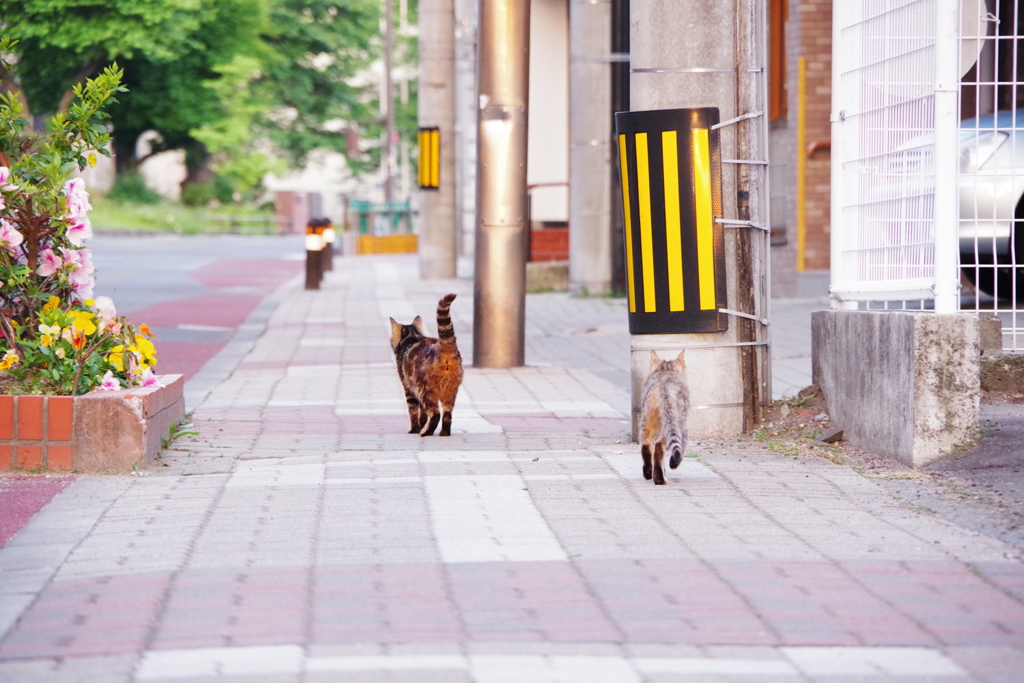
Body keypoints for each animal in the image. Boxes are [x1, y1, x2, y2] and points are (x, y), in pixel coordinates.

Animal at [387, 292, 464, 436]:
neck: (412, 337)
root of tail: (444, 350)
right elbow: (422, 412)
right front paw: (421, 424)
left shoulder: (408, 387)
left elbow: (413, 411)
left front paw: (414, 429)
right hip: (451, 390)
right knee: (447, 415)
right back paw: (443, 432)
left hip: (425, 390)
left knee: (435, 414)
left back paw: (426, 432)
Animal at [634, 352, 692, 485]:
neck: (665, 370)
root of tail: (663, 385)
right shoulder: (683, 429)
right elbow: (683, 444)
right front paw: (673, 463)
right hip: (674, 422)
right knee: (659, 445)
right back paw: (659, 479)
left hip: (648, 419)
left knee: (646, 442)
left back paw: (649, 472)